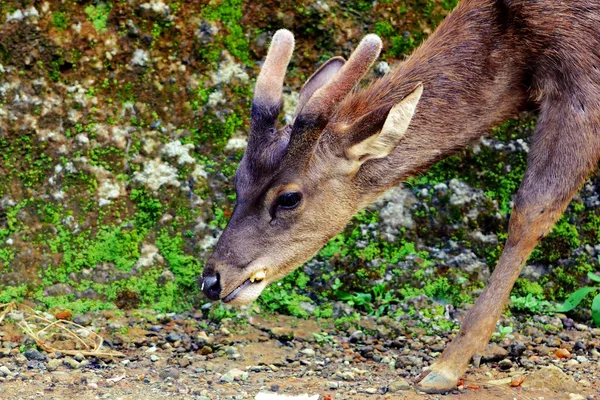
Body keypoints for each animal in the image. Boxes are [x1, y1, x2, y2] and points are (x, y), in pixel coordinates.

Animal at [200, 0, 600, 394]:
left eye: (288, 198)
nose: (212, 280)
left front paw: (445, 368)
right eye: (237, 179)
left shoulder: (583, 82)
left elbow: (531, 211)